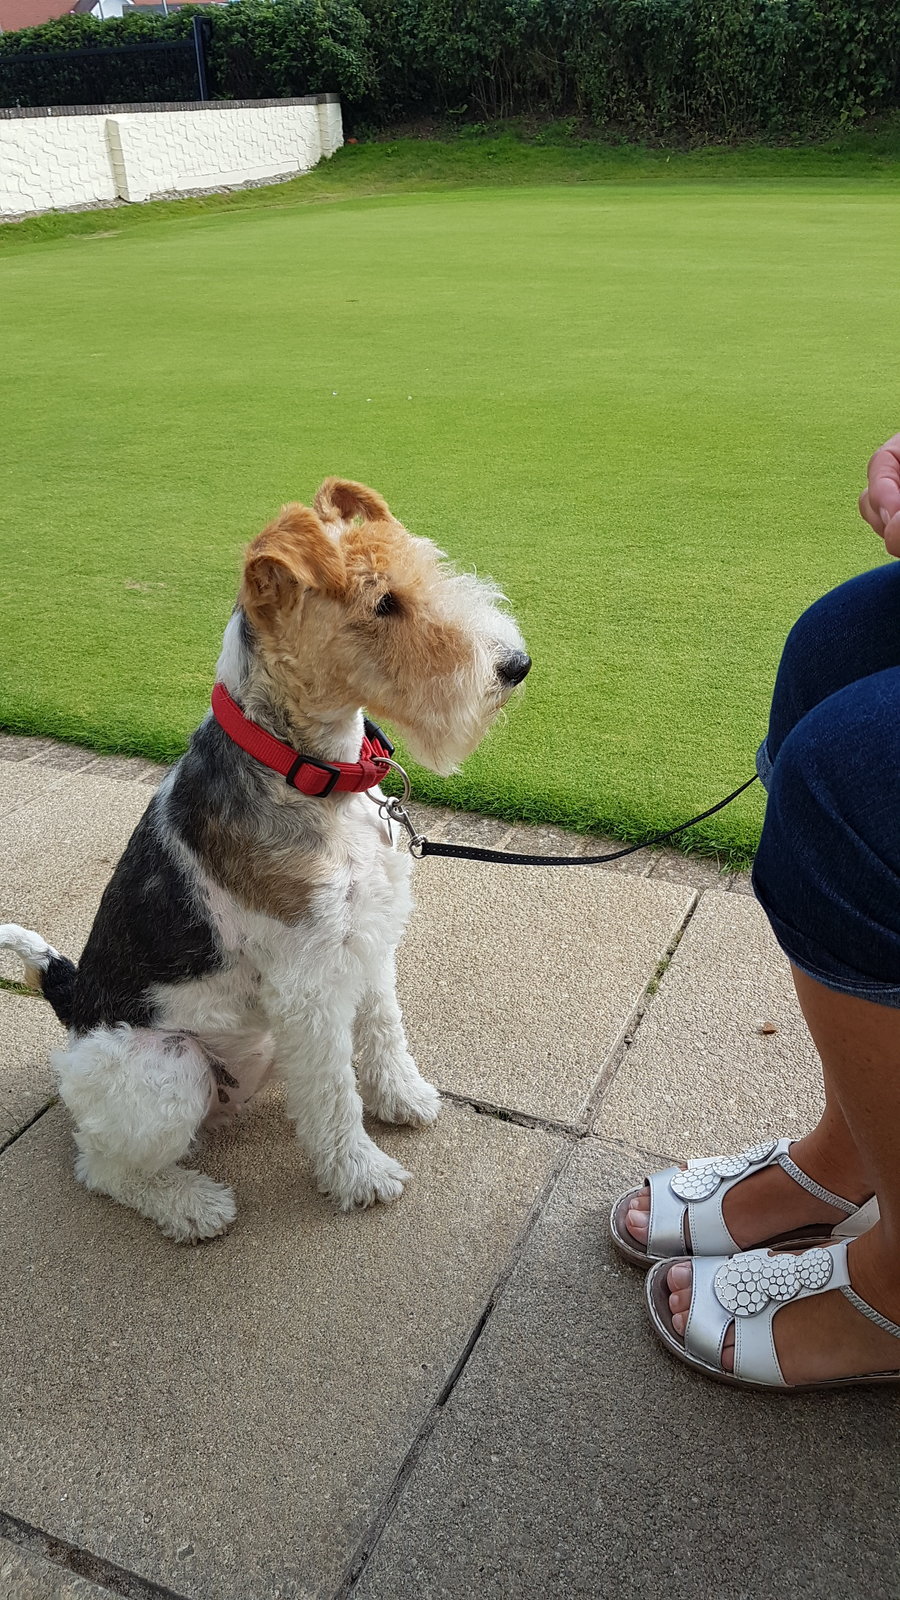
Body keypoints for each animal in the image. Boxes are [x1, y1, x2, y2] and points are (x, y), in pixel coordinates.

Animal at [0, 479, 530, 1242]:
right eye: (383, 604)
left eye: (427, 569)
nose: (514, 666)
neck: (301, 768)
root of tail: (70, 1008)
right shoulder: (308, 981)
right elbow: (336, 1097)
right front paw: (362, 1175)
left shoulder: (366, 937)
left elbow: (383, 1030)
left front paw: (406, 1099)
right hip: (170, 1069)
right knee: (101, 1167)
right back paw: (194, 1206)